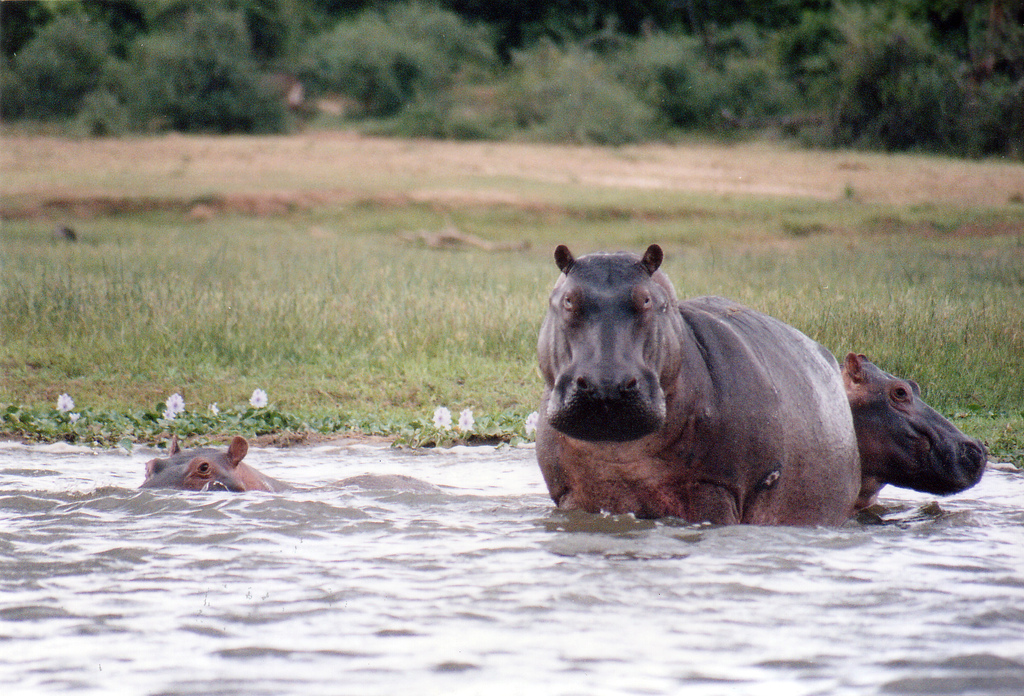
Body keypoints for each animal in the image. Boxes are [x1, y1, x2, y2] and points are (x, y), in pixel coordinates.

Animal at [536, 244, 861, 525]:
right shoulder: (571, 495)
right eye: (568, 299)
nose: (606, 385)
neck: (620, 450)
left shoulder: (716, 488)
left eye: (647, 300)